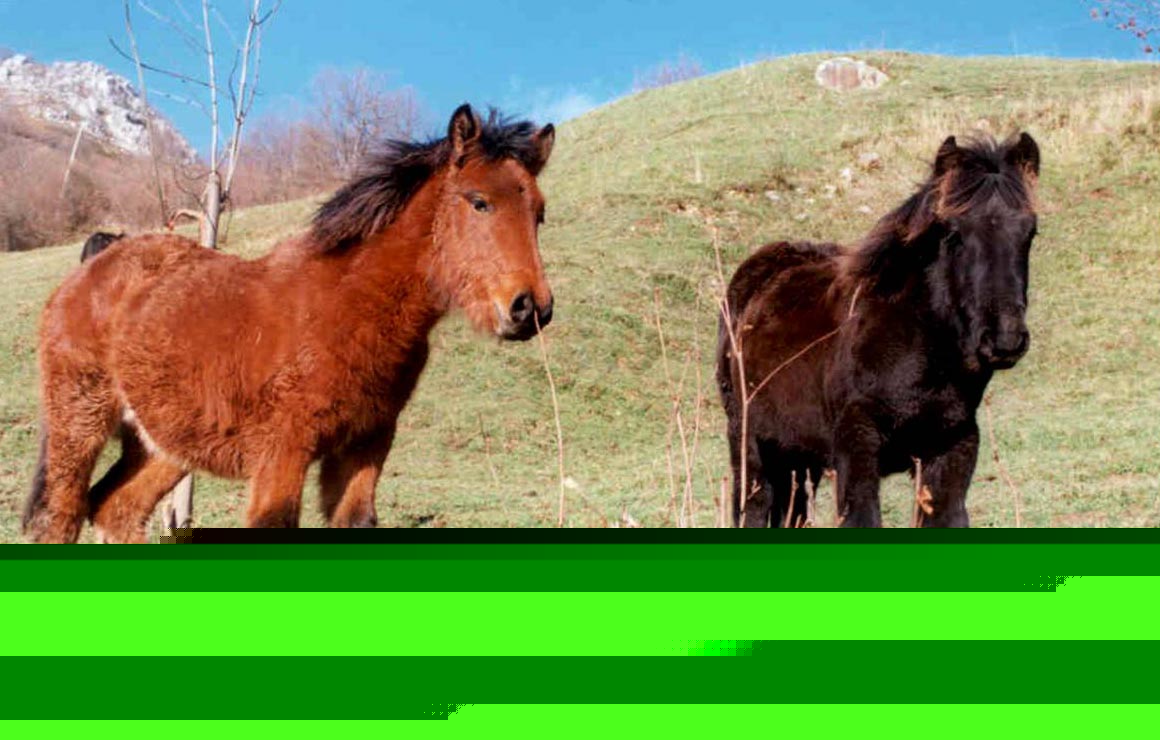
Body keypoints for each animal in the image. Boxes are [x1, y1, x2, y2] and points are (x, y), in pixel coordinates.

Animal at [24, 104, 556, 542]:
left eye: (539, 212)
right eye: (478, 201)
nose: (530, 308)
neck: (349, 304)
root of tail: (96, 263)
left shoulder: (365, 445)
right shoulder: (283, 450)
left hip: (161, 444)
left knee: (115, 509)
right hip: (80, 417)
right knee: (60, 515)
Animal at [717, 132, 1040, 528]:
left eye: (1030, 232)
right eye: (953, 233)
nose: (1005, 339)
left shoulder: (952, 449)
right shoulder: (856, 450)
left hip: (800, 460)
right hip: (750, 447)